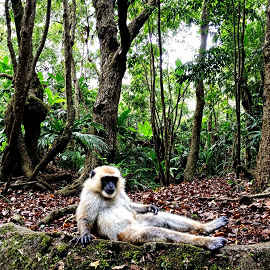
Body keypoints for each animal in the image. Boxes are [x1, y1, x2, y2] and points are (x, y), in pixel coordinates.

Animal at [75, 166, 228, 250]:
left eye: (113, 179)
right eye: (106, 179)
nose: (111, 186)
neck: (104, 195)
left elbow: (130, 205)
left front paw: (149, 206)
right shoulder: (89, 195)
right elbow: (85, 219)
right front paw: (85, 234)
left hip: (137, 223)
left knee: (161, 218)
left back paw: (207, 227)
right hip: (126, 234)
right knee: (154, 232)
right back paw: (210, 242)